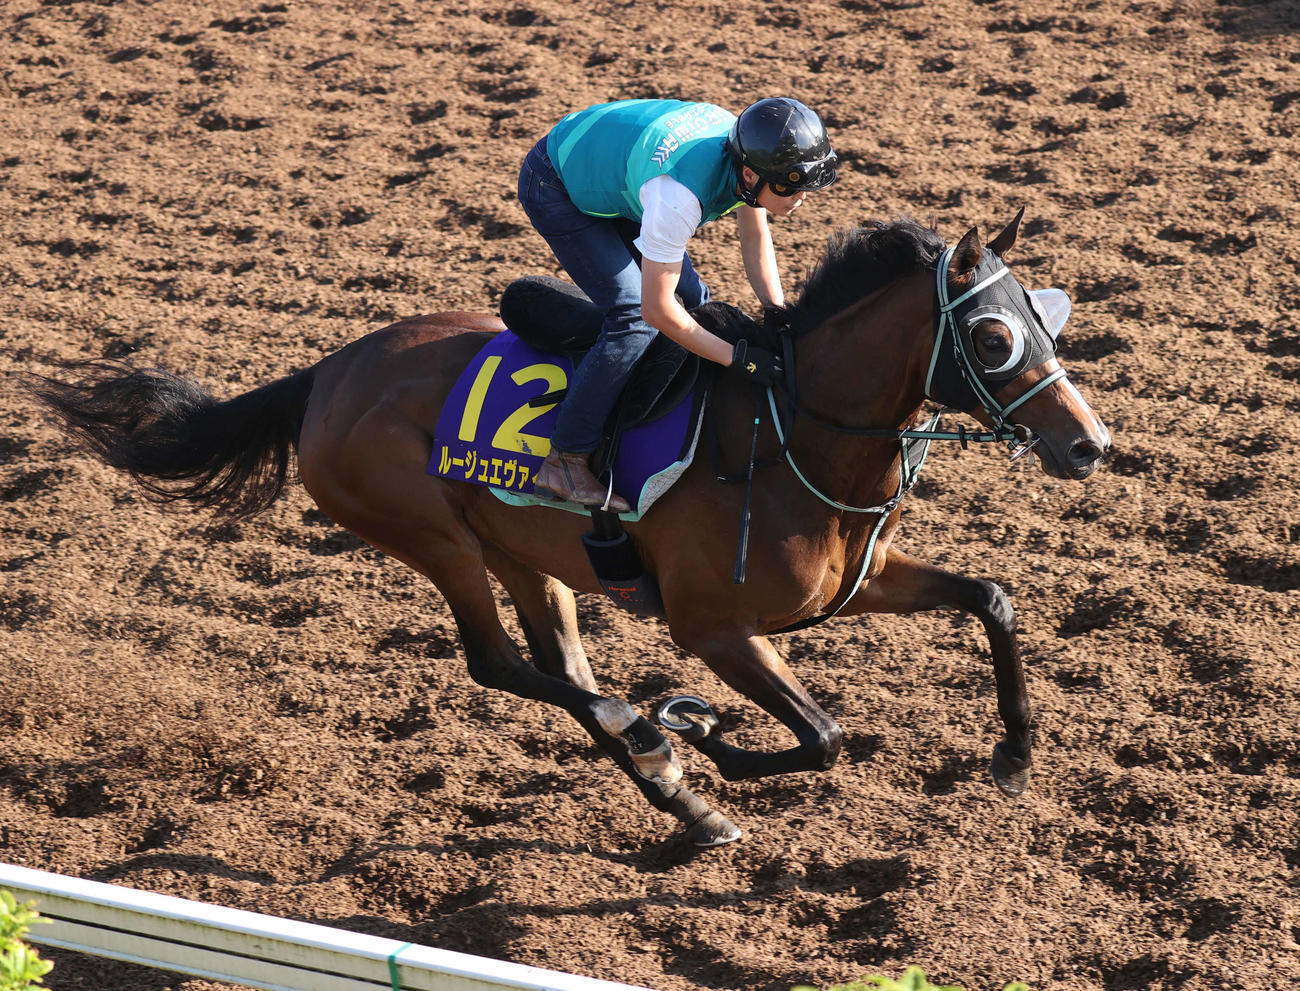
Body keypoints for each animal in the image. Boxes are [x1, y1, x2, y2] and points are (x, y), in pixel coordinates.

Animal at [32, 212, 1110, 847]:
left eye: (1046, 315)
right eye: (992, 336)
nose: (1090, 444)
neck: (787, 430)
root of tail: (327, 373)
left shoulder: (853, 582)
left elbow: (992, 597)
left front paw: (1015, 754)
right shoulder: (712, 628)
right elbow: (824, 734)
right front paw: (710, 737)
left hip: (527, 554)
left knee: (559, 667)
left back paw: (676, 791)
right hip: (433, 537)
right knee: (500, 665)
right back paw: (661, 743)